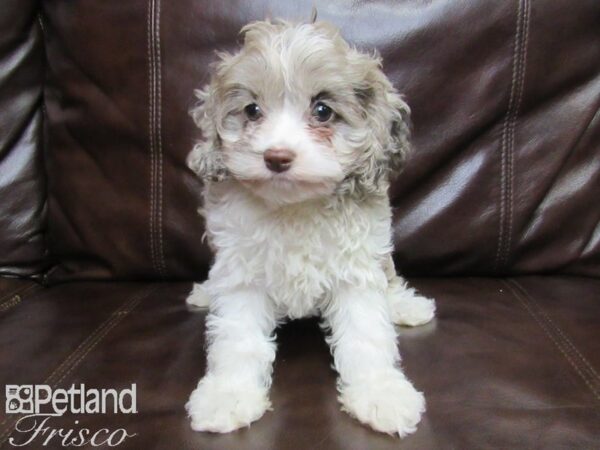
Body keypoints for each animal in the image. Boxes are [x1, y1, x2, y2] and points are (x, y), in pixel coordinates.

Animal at [185, 18, 434, 440]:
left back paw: (406, 305)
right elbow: (237, 338)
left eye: (323, 110)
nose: (276, 157)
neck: (294, 207)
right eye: (252, 110)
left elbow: (366, 334)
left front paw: (380, 393)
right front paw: (228, 395)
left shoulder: (356, 268)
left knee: (390, 279)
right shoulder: (241, 272)